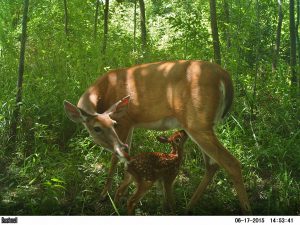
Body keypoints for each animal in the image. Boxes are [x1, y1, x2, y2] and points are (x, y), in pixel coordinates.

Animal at [64, 60, 252, 214]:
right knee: (212, 165)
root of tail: (225, 77)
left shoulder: (125, 121)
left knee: (231, 163)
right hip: (204, 125)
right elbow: (125, 156)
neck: (104, 91)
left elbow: (114, 158)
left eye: (113, 124)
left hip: (197, 122)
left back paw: (246, 209)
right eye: (96, 128)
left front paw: (104, 196)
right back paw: (188, 207)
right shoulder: (131, 124)